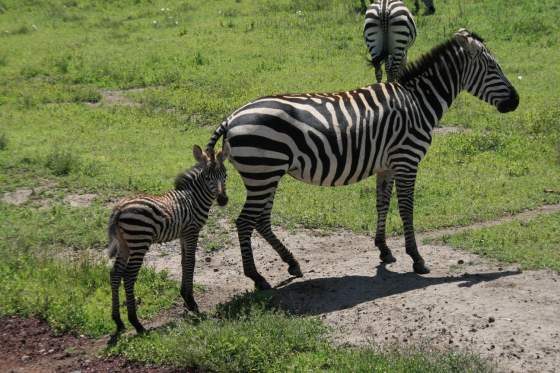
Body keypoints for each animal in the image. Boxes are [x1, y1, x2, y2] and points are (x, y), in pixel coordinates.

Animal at [106, 145, 229, 340]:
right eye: (208, 177)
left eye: (225, 175)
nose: (223, 200)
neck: (193, 197)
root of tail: (119, 208)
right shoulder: (192, 231)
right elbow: (191, 262)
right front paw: (192, 303)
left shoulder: (183, 234)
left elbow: (184, 262)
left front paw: (186, 299)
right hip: (139, 242)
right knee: (129, 276)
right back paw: (137, 324)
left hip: (124, 244)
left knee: (115, 274)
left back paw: (118, 322)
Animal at [207, 29, 520, 290]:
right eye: (493, 68)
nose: (516, 101)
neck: (418, 101)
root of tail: (231, 118)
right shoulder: (407, 160)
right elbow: (406, 208)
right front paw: (417, 258)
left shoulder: (387, 164)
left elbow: (382, 203)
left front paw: (384, 249)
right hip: (263, 171)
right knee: (245, 222)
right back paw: (257, 278)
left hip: (265, 174)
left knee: (261, 220)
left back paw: (292, 264)